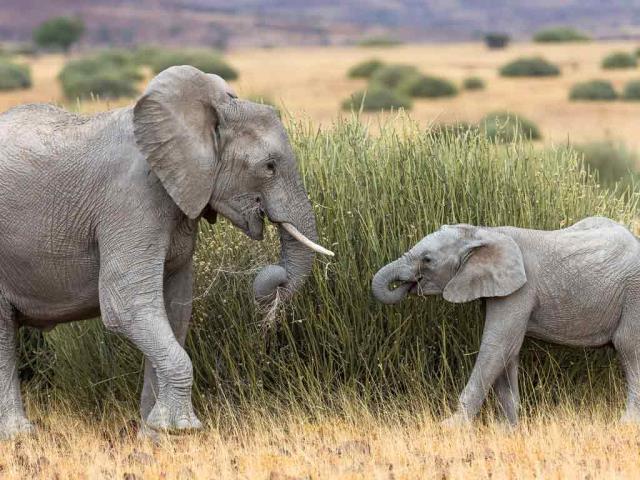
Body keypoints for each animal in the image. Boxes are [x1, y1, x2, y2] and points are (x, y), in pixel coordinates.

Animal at [0, 65, 333, 438]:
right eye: (269, 166)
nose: (275, 280)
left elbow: (175, 308)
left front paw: (154, 433)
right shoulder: (131, 199)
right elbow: (126, 305)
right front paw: (181, 429)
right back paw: (17, 435)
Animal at [372, 217, 640, 425]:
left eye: (427, 259)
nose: (408, 284)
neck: (484, 232)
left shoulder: (520, 290)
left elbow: (497, 345)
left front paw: (450, 427)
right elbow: (507, 352)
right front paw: (507, 429)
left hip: (634, 295)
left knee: (629, 348)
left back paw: (625, 425)